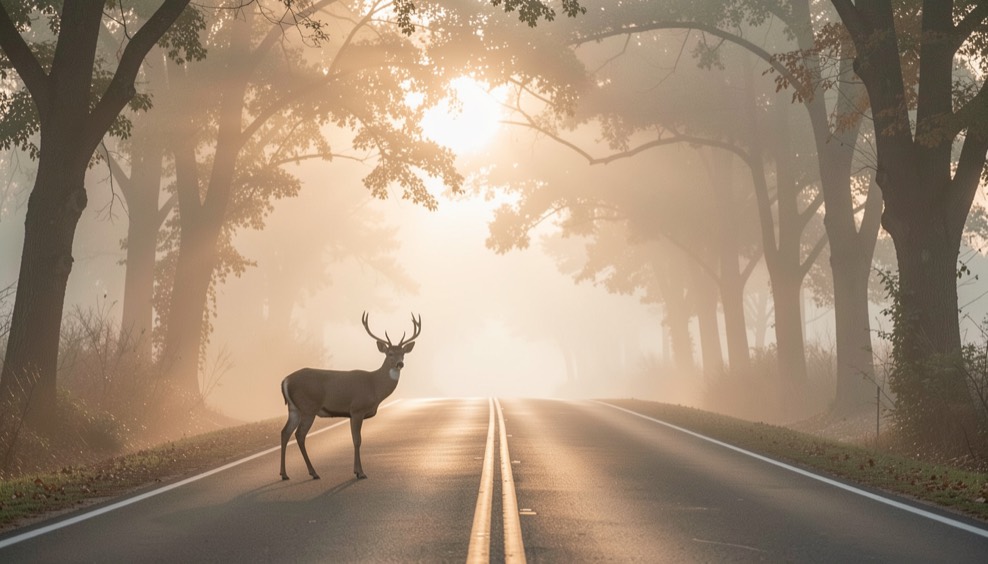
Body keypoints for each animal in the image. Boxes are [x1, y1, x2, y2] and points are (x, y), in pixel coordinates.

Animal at [279, 312, 421, 480]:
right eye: (390, 353)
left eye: (403, 354)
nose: (400, 364)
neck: (374, 386)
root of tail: (285, 380)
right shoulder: (357, 409)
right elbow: (357, 440)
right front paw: (361, 472)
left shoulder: (352, 414)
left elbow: (354, 439)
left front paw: (356, 471)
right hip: (308, 407)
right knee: (299, 435)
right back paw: (313, 472)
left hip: (294, 409)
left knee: (285, 432)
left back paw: (284, 474)